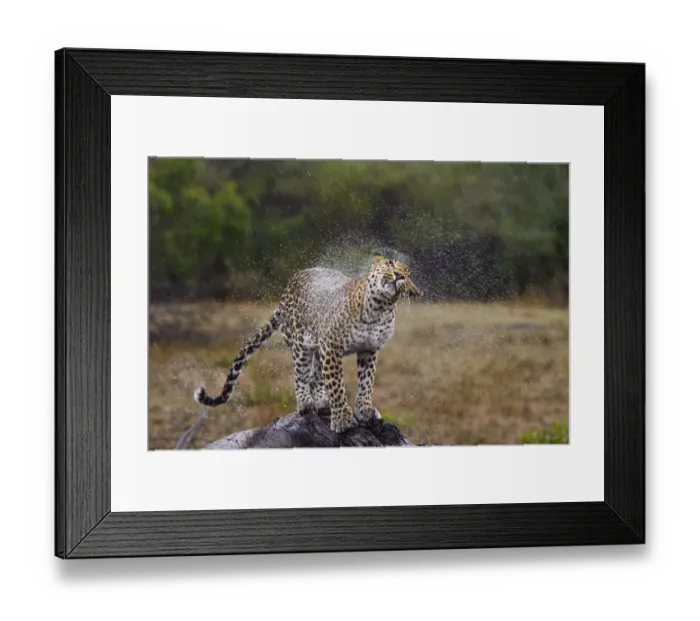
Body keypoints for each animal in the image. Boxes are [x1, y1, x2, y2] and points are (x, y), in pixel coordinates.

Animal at [194, 252, 421, 433]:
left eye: (408, 274)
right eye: (390, 263)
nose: (400, 276)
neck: (378, 309)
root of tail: (288, 287)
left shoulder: (369, 349)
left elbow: (366, 382)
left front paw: (365, 411)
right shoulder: (331, 345)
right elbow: (337, 386)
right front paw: (342, 419)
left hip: (318, 348)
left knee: (316, 376)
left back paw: (321, 401)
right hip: (301, 343)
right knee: (302, 375)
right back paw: (305, 403)